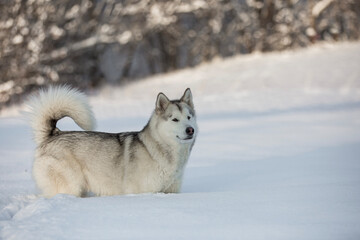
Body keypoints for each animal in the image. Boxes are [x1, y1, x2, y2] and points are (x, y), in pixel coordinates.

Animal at [27, 86, 197, 197]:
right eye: (175, 119)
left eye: (189, 117)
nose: (190, 130)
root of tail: (53, 134)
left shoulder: (171, 191)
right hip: (71, 187)